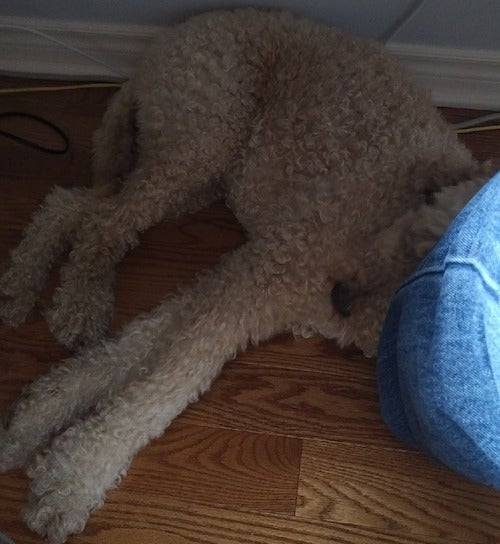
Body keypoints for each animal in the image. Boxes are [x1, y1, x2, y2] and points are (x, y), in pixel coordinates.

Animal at [0, 7, 494, 540]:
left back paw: (19, 287)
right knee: (102, 226)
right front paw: (69, 475)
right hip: (201, 141)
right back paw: (79, 302)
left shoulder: (246, 276)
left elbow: (144, 351)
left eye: (429, 288)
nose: (339, 297)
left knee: (72, 205)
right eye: (417, 229)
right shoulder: (264, 272)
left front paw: (42, 428)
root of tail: (166, 43)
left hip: (193, 172)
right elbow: (172, 375)